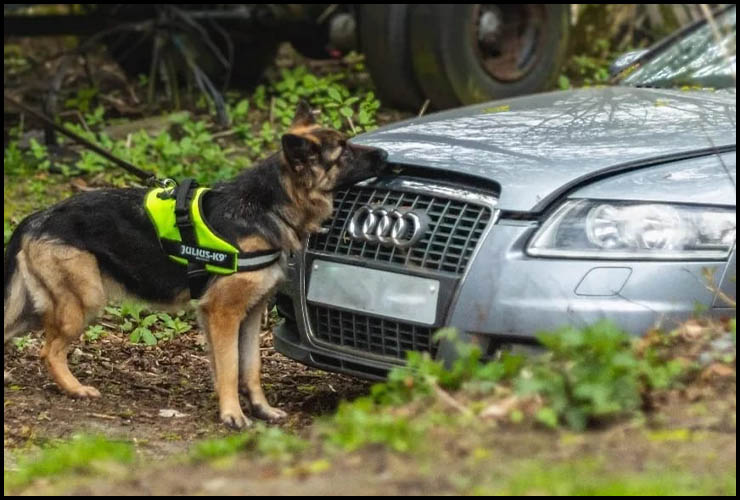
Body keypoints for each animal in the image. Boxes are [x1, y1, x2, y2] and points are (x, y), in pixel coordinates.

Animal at [4, 101, 388, 430]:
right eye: (344, 151)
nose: (385, 155)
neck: (266, 204)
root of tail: (36, 217)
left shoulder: (249, 314)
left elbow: (250, 367)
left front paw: (260, 408)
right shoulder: (223, 313)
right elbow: (231, 368)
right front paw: (233, 415)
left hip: (36, 310)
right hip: (84, 301)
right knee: (49, 351)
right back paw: (75, 389)